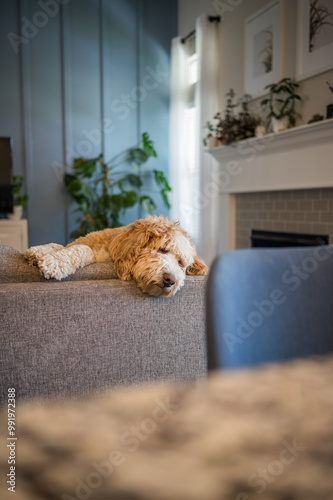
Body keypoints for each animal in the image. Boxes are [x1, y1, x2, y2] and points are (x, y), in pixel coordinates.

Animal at [24, 215, 208, 296]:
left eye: (181, 263)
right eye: (163, 249)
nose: (170, 280)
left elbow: (83, 250)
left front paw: (51, 260)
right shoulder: (80, 243)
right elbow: (64, 246)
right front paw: (40, 253)